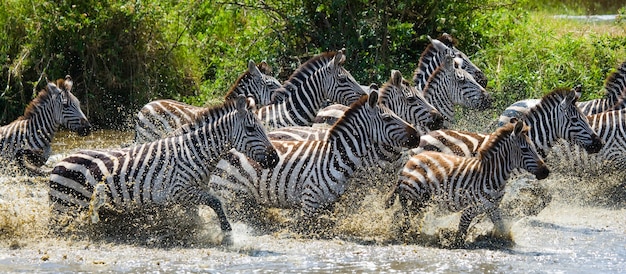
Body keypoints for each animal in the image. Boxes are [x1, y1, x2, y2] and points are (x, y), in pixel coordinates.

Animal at [50, 95, 280, 234]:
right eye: (251, 128)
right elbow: (216, 202)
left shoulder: (190, 196)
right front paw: (227, 232)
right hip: (66, 207)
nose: (275, 159)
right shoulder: (180, 191)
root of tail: (59, 163)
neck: (195, 153)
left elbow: (200, 213)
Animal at [206, 91, 420, 219]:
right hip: (230, 194)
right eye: (387, 118)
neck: (336, 158)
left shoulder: (330, 204)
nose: (417, 136)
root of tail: (228, 149)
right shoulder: (309, 203)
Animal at [382, 122, 548, 244]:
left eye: (534, 147)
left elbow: (502, 230)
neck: (491, 176)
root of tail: (411, 160)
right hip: (413, 193)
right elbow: (460, 236)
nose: (546, 172)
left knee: (403, 214)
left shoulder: (493, 208)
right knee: (403, 209)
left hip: (421, 201)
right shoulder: (469, 210)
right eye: (525, 149)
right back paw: (404, 230)